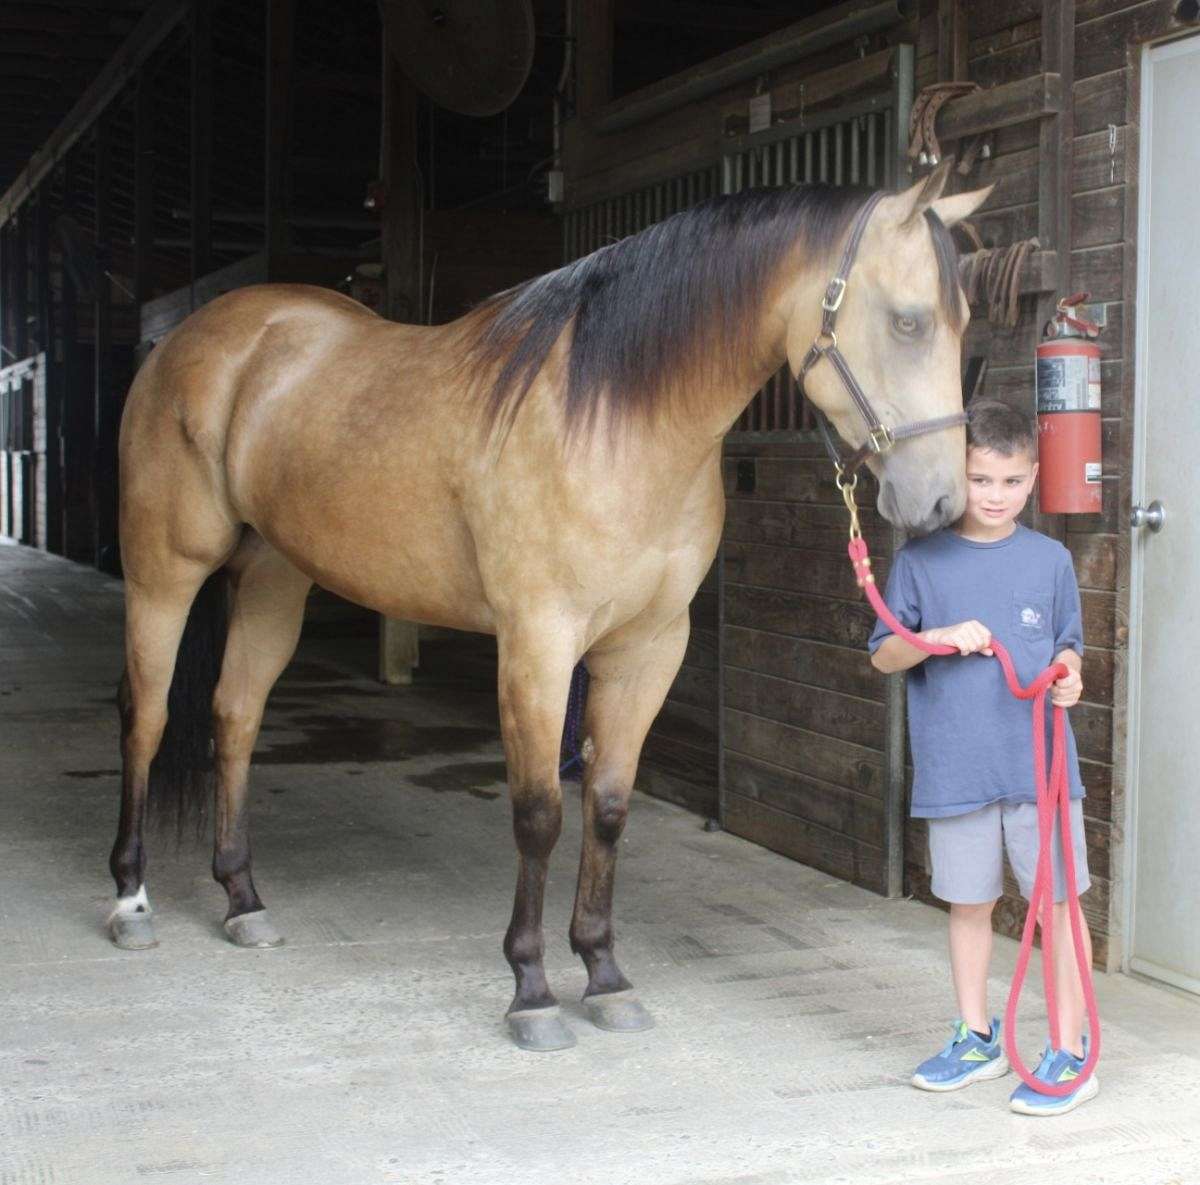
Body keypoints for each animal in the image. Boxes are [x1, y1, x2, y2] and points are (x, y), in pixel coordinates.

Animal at [108, 161, 990, 1051]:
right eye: (908, 321)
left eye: (963, 321)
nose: (942, 502)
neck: (614, 416)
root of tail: (194, 338)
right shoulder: (537, 642)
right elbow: (539, 813)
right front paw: (531, 989)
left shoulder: (649, 648)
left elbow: (606, 807)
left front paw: (603, 974)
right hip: (164, 571)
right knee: (147, 715)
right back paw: (131, 899)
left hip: (273, 579)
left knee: (234, 717)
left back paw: (242, 899)